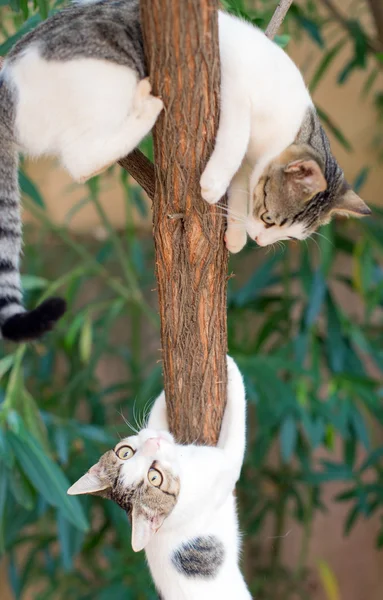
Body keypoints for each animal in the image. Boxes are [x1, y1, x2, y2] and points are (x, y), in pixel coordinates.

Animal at [0, 0, 372, 340]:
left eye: (288, 237)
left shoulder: (251, 166)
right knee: (79, 160)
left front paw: (235, 233)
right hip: (108, 81)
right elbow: (236, 132)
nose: (260, 240)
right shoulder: (233, 86)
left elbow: (240, 186)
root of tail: (8, 93)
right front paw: (213, 184)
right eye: (269, 220)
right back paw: (146, 108)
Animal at [68, 354, 252, 596]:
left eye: (124, 452)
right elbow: (237, 423)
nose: (153, 442)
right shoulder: (226, 465)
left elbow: (155, 415)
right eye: (155, 477)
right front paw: (233, 368)